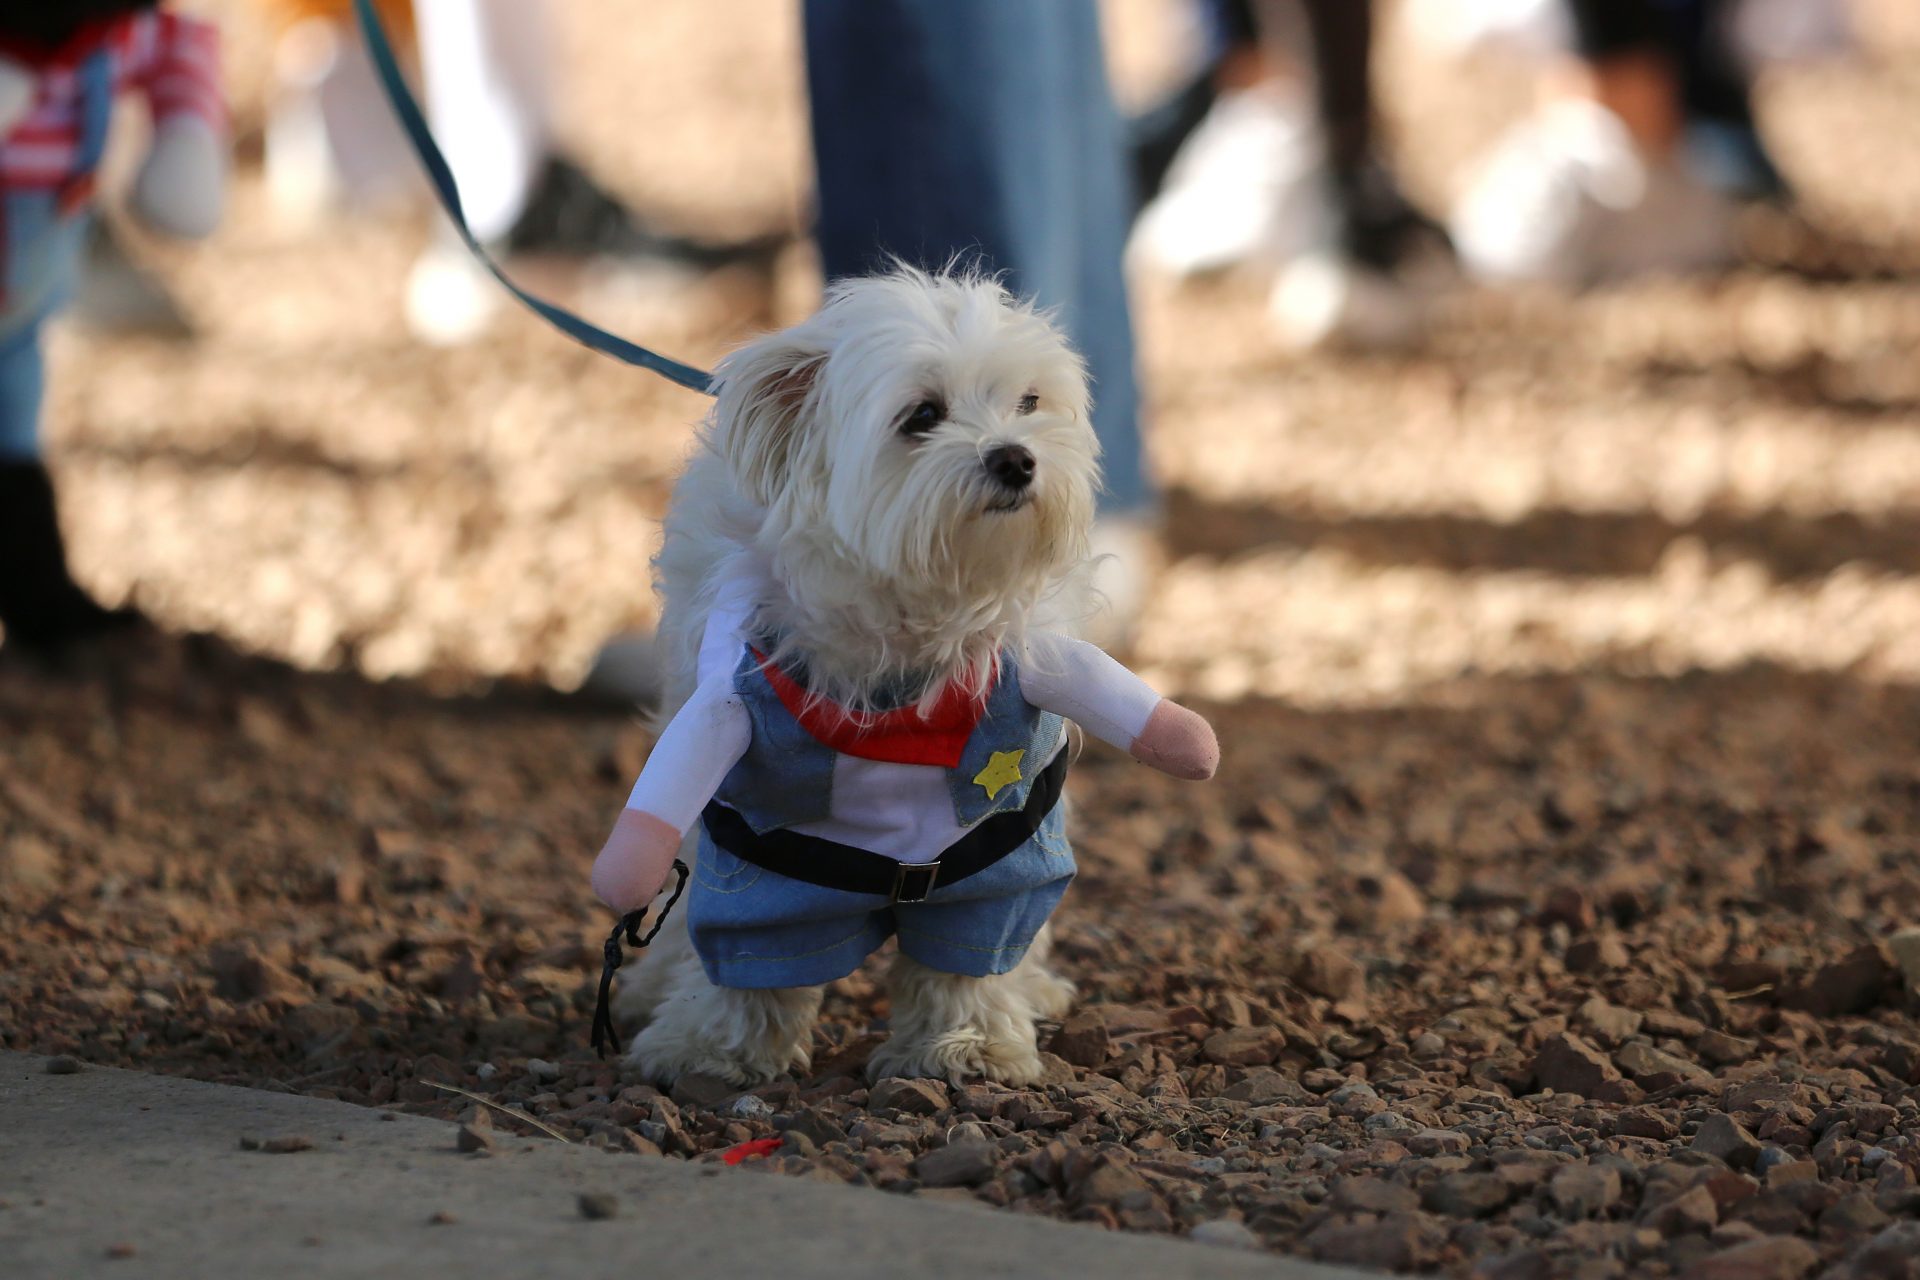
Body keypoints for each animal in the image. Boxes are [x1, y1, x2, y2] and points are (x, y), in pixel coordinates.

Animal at [591, 264, 1213, 1090]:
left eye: (1028, 402)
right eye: (922, 415)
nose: (1016, 458)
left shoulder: (997, 823)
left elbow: (974, 935)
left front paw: (968, 1045)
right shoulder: (754, 811)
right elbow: (750, 940)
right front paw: (713, 1049)